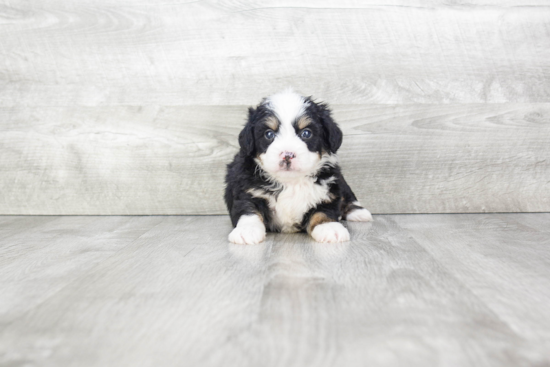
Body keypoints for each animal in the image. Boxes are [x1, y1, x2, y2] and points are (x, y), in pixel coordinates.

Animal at [225, 89, 376, 244]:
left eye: (306, 133)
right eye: (269, 134)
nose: (287, 155)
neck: (291, 182)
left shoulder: (328, 190)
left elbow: (324, 210)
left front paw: (329, 227)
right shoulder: (246, 190)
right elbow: (249, 210)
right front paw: (247, 230)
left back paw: (359, 212)